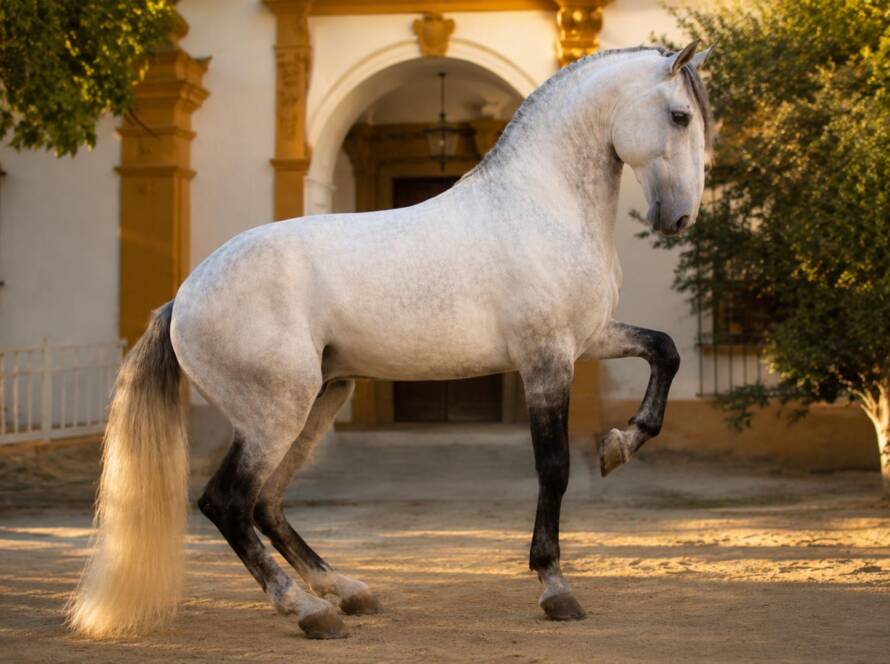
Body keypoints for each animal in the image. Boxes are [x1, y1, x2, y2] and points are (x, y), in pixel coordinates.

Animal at [67, 41, 713, 640]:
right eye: (680, 116)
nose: (678, 218)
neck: (538, 206)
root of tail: (183, 298)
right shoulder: (547, 359)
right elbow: (553, 468)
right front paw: (555, 589)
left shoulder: (589, 339)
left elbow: (665, 350)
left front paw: (619, 445)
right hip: (274, 413)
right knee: (227, 503)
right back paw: (309, 611)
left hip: (320, 398)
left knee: (267, 503)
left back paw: (347, 591)